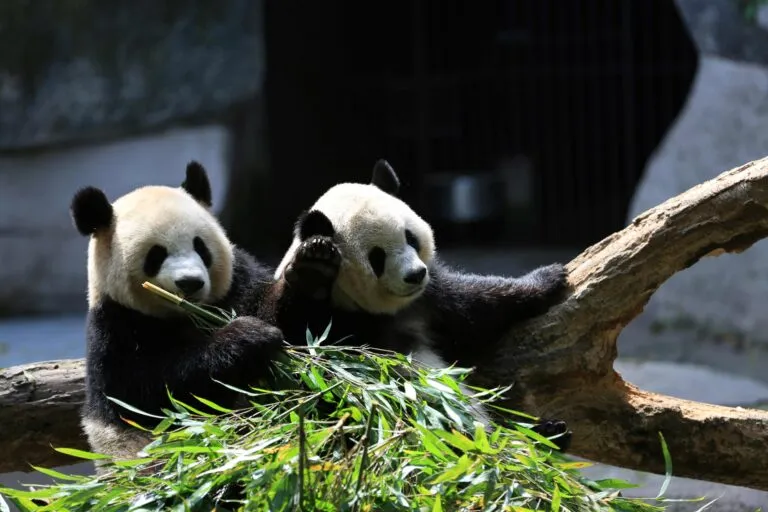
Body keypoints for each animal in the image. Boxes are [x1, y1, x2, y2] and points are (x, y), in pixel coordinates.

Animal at [70, 162, 284, 465]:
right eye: (156, 255)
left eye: (200, 246)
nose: (190, 282)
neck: (187, 314)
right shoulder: (115, 328)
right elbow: (153, 392)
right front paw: (248, 336)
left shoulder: (238, 285)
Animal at [271, 159, 572, 450]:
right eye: (377, 257)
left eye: (410, 238)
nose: (415, 274)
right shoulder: (335, 326)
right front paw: (313, 269)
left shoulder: (429, 300)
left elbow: (476, 306)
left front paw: (548, 277)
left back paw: (550, 432)